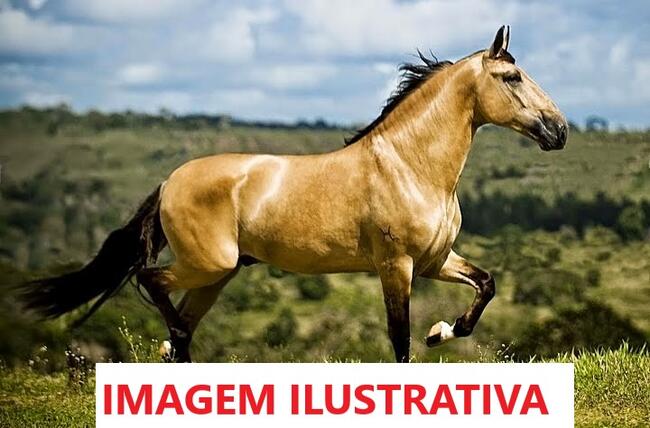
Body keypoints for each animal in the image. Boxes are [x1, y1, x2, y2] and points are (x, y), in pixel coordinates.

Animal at [21, 26, 567, 363]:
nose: (559, 131)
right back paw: (172, 344)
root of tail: (170, 181)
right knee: (153, 284)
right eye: (512, 77)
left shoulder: (434, 260)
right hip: (209, 265)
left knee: (181, 316)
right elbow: (399, 339)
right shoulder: (396, 266)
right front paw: (429, 337)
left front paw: (442, 331)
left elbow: (485, 287)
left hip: (216, 275)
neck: (408, 166)